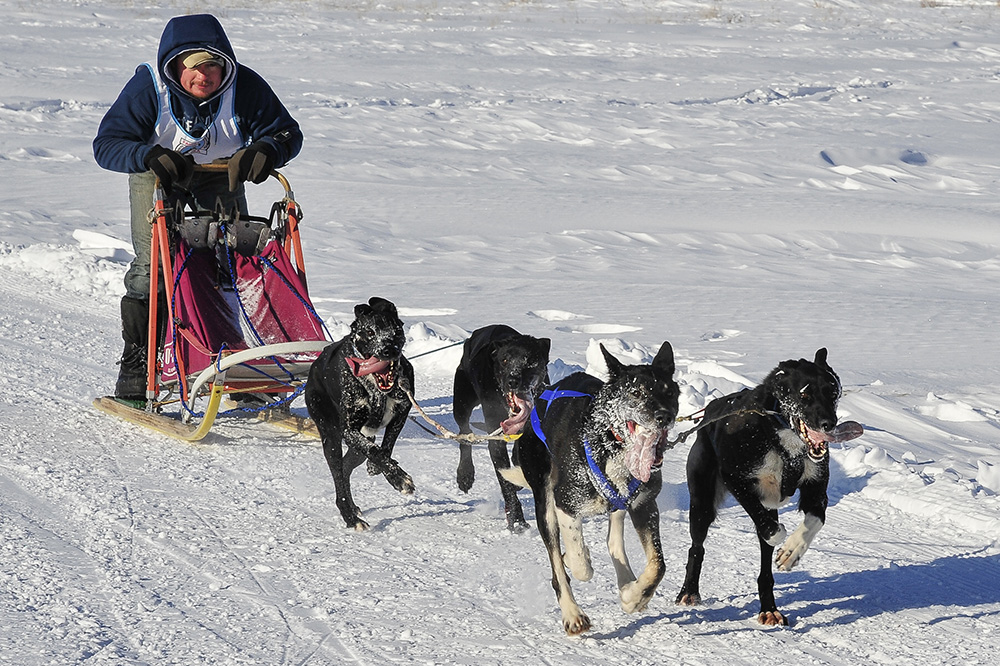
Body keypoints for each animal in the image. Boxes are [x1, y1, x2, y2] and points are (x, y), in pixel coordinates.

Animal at [304, 296, 414, 528]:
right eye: (370, 332)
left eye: (395, 329)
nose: (387, 350)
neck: (377, 390)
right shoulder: (349, 430)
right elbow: (375, 451)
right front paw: (399, 479)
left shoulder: (402, 411)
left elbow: (386, 447)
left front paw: (382, 468)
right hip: (331, 438)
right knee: (338, 474)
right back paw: (350, 516)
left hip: (358, 446)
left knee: (347, 467)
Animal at [456, 322, 556, 528]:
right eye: (504, 361)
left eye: (530, 361)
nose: (513, 380)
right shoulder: (496, 439)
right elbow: (505, 483)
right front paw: (516, 520)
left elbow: (519, 457)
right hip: (461, 402)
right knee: (465, 434)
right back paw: (465, 474)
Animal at [504, 342, 676, 632]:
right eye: (636, 392)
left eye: (669, 391)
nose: (664, 416)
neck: (610, 443)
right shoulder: (566, 503)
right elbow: (579, 564)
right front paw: (579, 559)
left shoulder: (644, 505)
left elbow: (658, 565)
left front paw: (634, 597)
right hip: (544, 502)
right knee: (558, 565)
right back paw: (572, 613)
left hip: (619, 504)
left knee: (613, 540)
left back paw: (626, 581)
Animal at [676, 348, 864, 624]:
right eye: (804, 394)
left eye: (832, 392)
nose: (828, 423)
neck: (783, 439)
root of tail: (710, 411)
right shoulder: (737, 479)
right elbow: (772, 530)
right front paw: (782, 537)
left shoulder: (815, 490)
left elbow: (815, 520)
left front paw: (792, 551)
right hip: (702, 504)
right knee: (696, 547)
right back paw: (689, 591)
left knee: (765, 570)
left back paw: (769, 608)